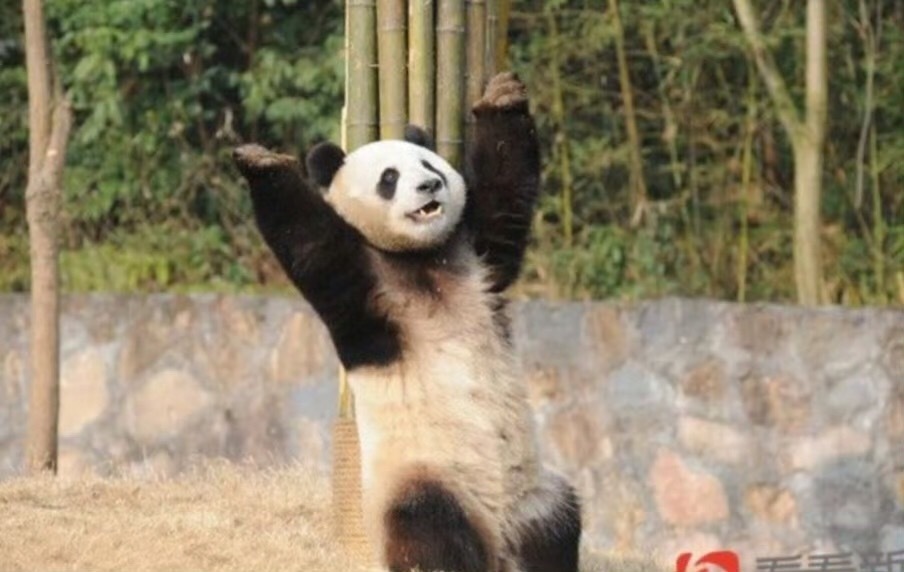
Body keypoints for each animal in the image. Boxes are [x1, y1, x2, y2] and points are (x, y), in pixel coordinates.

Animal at [233, 72, 581, 572]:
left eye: (427, 161)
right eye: (389, 178)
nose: (431, 185)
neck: (421, 257)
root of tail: (498, 539)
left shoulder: (475, 257)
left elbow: (504, 201)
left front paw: (500, 98)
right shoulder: (366, 288)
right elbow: (310, 244)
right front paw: (262, 162)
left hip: (531, 492)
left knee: (557, 523)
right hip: (426, 474)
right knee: (431, 528)